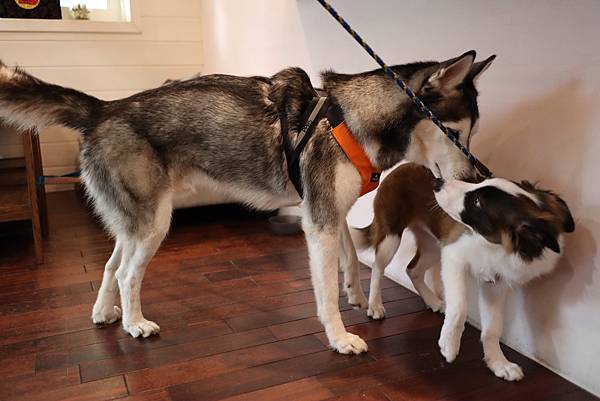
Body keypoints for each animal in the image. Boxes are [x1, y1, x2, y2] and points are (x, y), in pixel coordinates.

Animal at [0, 50, 492, 354]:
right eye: (455, 134)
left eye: (471, 134)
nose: (476, 179)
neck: (351, 118)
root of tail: (103, 108)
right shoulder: (318, 221)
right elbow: (325, 293)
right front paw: (339, 337)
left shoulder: (329, 212)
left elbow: (351, 257)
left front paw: (355, 292)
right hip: (155, 223)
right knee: (125, 274)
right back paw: (134, 323)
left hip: (137, 221)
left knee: (108, 265)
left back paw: (104, 314)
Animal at [354, 162, 576, 378]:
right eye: (481, 183)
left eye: (477, 202)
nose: (437, 183)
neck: (497, 246)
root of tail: (404, 165)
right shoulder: (454, 257)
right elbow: (460, 307)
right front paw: (449, 344)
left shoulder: (495, 284)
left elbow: (493, 328)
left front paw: (498, 362)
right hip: (391, 237)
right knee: (378, 267)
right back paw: (375, 304)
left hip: (433, 246)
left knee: (412, 270)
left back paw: (432, 300)